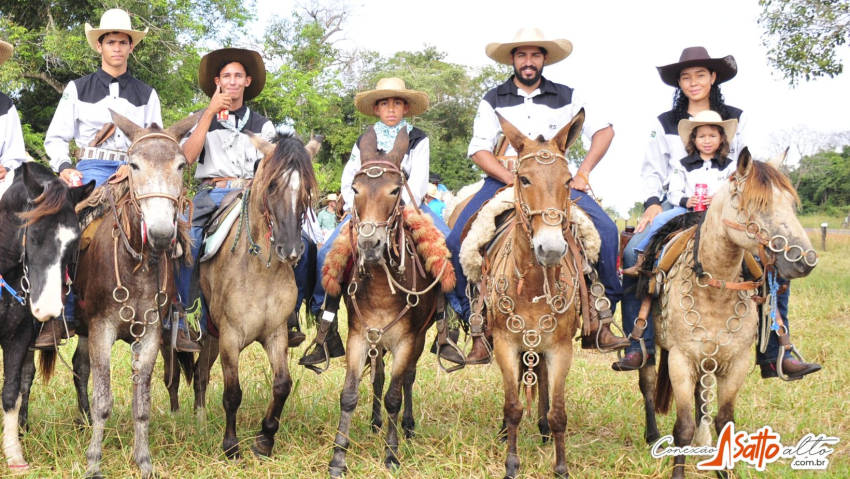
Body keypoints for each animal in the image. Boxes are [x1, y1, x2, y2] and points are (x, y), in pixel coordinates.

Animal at [0, 163, 93, 470]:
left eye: (74, 241)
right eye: (34, 234)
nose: (48, 309)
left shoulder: (18, 338)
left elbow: (11, 392)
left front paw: (14, 456)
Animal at [70, 109, 200, 479]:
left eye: (181, 165)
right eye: (135, 165)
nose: (161, 233)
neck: (138, 264)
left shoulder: (152, 333)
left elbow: (141, 403)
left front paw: (143, 460)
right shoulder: (101, 328)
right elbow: (104, 400)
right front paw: (94, 462)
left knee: (79, 367)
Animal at [190, 132, 320, 462]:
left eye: (307, 190)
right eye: (272, 186)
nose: (291, 250)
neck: (262, 271)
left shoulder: (275, 334)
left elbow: (282, 385)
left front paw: (265, 440)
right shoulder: (230, 337)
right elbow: (233, 393)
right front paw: (230, 446)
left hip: (211, 336)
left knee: (199, 373)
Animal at [320, 126, 450, 476]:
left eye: (395, 190)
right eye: (355, 189)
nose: (369, 243)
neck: (381, 287)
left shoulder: (406, 341)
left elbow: (395, 394)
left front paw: (391, 454)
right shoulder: (358, 337)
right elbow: (350, 395)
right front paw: (338, 458)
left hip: (417, 341)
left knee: (406, 380)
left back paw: (406, 425)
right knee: (378, 378)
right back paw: (376, 422)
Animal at [636, 149, 816, 476]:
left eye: (789, 201)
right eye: (757, 204)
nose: (805, 260)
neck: (715, 288)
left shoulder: (736, 363)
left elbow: (724, 421)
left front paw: (724, 470)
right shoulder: (681, 361)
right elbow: (682, 426)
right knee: (648, 384)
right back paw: (652, 435)